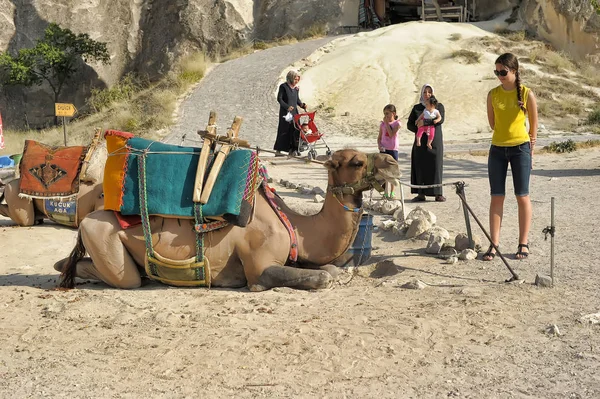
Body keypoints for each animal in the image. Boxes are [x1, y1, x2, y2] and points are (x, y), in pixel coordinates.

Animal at [56, 148, 400, 292]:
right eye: (356, 162)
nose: (393, 163)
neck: (295, 226)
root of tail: (85, 221)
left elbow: (330, 269)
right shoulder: (259, 266)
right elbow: (319, 277)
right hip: (104, 239)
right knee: (119, 276)